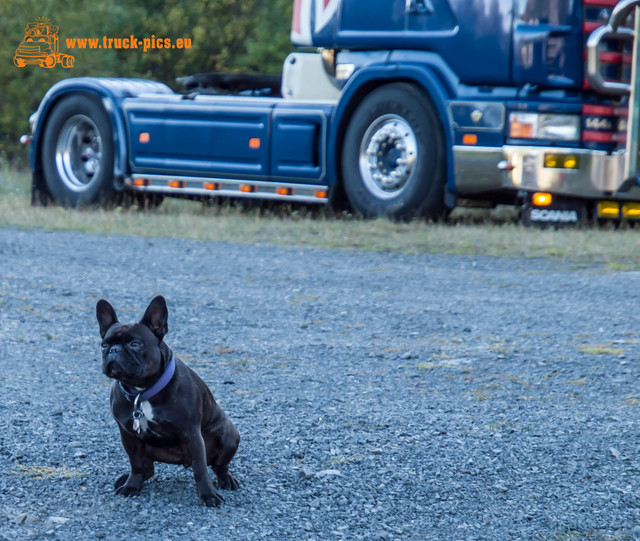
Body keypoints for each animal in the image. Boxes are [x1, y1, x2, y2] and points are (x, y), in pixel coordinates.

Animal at [97, 294, 240, 504]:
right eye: (104, 345)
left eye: (135, 344)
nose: (114, 350)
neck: (142, 391)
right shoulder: (128, 434)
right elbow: (136, 464)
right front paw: (132, 486)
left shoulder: (191, 432)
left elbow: (200, 468)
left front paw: (208, 495)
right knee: (147, 468)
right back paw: (127, 478)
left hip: (229, 435)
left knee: (218, 465)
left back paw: (226, 479)